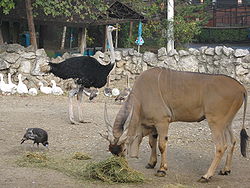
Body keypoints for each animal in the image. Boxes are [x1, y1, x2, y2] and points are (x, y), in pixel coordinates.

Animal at [101, 67, 248, 181]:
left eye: (124, 150)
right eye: (112, 152)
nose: (120, 166)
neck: (141, 96)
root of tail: (241, 87)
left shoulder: (162, 121)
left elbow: (161, 145)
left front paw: (162, 169)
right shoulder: (154, 124)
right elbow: (152, 142)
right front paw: (151, 163)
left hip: (215, 122)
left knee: (221, 146)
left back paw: (206, 176)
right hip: (226, 123)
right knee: (232, 141)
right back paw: (225, 170)